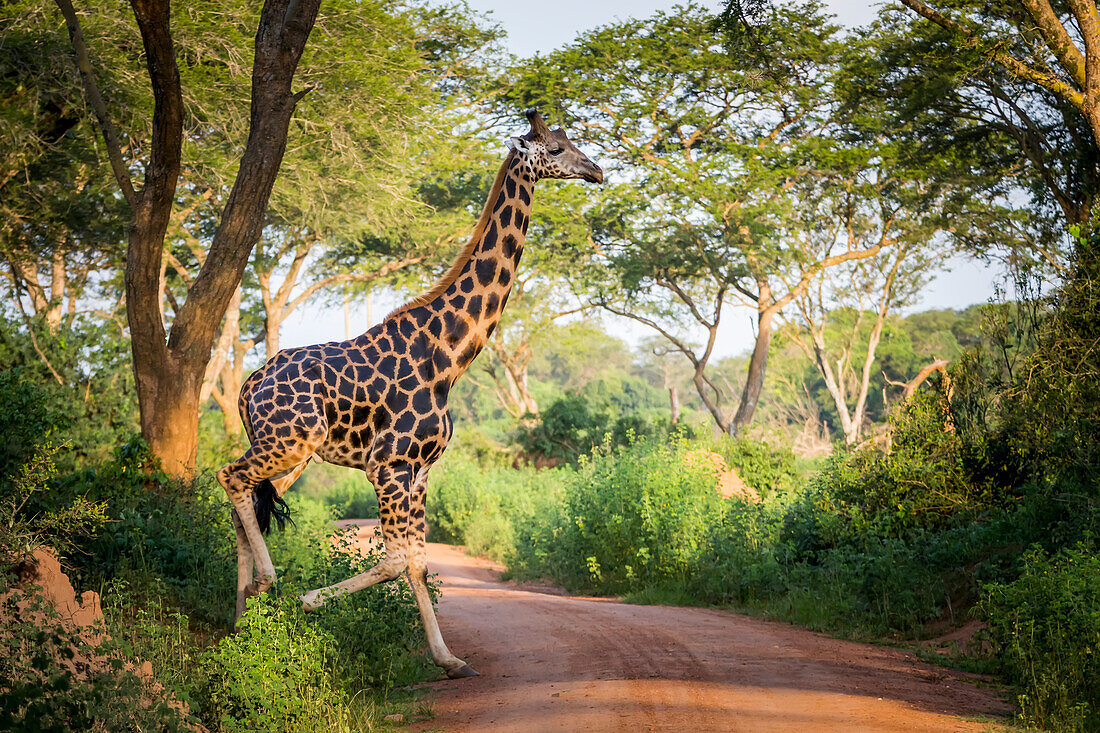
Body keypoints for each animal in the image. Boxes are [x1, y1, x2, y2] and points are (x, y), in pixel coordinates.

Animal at [214, 107, 602, 673]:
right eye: (555, 150)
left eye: (572, 142)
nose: (596, 171)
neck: (450, 355)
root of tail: (247, 386)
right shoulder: (388, 465)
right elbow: (397, 560)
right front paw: (310, 601)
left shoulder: (419, 471)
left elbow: (416, 562)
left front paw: (448, 659)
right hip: (291, 441)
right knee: (231, 477)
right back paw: (266, 586)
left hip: (290, 451)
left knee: (242, 500)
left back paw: (242, 618)